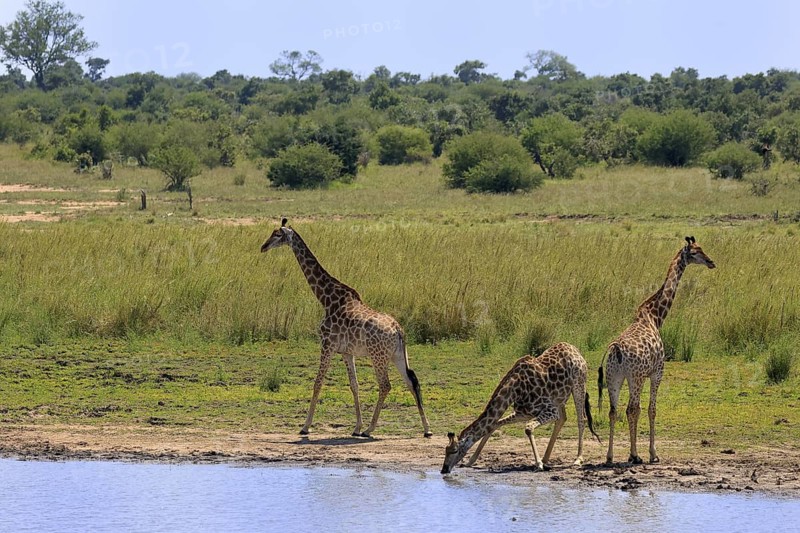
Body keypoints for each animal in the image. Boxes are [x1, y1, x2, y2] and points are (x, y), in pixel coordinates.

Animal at [261, 219, 432, 438]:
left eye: (277, 234)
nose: (263, 247)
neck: (326, 299)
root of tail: (398, 331)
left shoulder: (327, 345)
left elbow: (318, 383)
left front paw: (305, 426)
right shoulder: (346, 352)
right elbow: (354, 385)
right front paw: (356, 427)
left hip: (378, 357)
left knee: (386, 385)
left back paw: (370, 429)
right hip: (397, 355)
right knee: (412, 382)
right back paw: (426, 429)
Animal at [441, 342, 601, 474]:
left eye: (454, 451)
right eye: (445, 450)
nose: (444, 469)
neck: (515, 390)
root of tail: (575, 349)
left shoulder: (549, 410)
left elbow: (528, 428)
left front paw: (538, 464)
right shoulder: (523, 413)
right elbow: (495, 424)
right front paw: (470, 461)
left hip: (578, 384)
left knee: (581, 419)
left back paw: (578, 459)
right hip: (559, 398)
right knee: (563, 418)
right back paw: (546, 458)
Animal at [598, 236, 715, 465]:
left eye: (702, 248)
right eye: (695, 252)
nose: (711, 262)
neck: (655, 317)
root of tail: (616, 349)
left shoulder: (643, 375)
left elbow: (641, 409)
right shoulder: (656, 372)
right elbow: (651, 409)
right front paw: (652, 454)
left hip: (614, 377)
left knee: (613, 410)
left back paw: (609, 457)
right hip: (634, 377)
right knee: (630, 409)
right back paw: (635, 456)